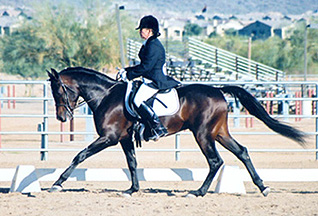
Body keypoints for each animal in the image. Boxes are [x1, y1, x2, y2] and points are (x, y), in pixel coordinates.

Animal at [47, 66, 306, 197]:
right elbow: (132, 163)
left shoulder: (108, 138)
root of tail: (218, 90)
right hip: (219, 132)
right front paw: (132, 189)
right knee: (242, 152)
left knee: (215, 161)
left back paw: (198, 192)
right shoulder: (123, 139)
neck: (106, 95)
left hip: (203, 134)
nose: (62, 117)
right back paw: (263, 187)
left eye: (58, 90)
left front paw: (57, 183)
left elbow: (80, 155)